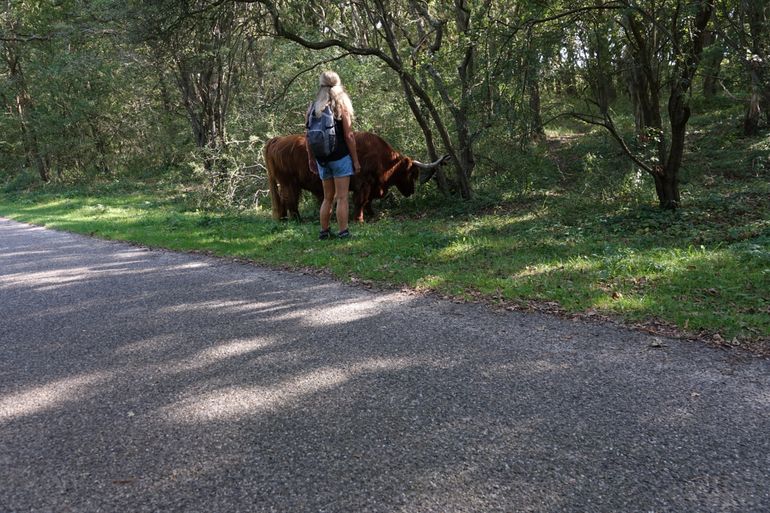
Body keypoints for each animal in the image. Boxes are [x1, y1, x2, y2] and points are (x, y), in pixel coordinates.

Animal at [264, 131, 448, 221]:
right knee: (290, 200)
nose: (412, 191)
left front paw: (372, 214)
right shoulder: (363, 183)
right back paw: (296, 219)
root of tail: (277, 139)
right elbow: (360, 201)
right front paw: (359, 219)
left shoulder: (371, 185)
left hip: (287, 183)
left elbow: (368, 202)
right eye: (412, 173)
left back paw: (284, 218)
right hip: (289, 182)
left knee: (284, 200)